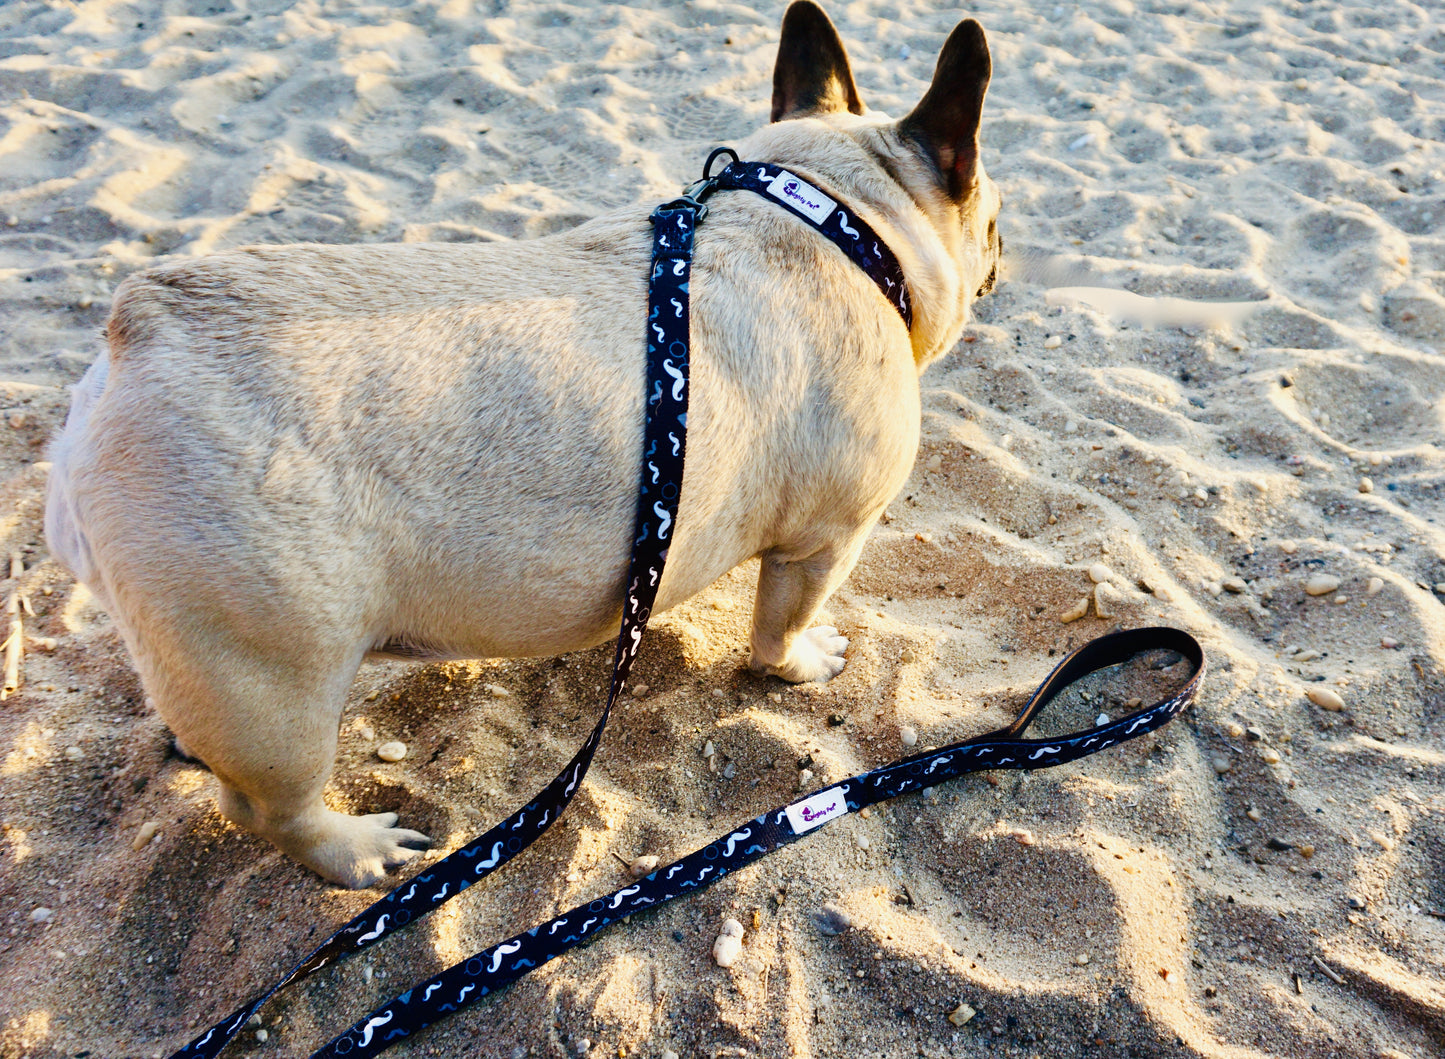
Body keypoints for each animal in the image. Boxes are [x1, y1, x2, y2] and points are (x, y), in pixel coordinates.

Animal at [42, 4, 994, 889]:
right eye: (993, 216)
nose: (1000, 247)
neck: (833, 216)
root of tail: (131, 348)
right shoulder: (826, 537)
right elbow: (778, 626)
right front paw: (801, 663)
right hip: (275, 684)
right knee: (269, 805)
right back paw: (357, 850)